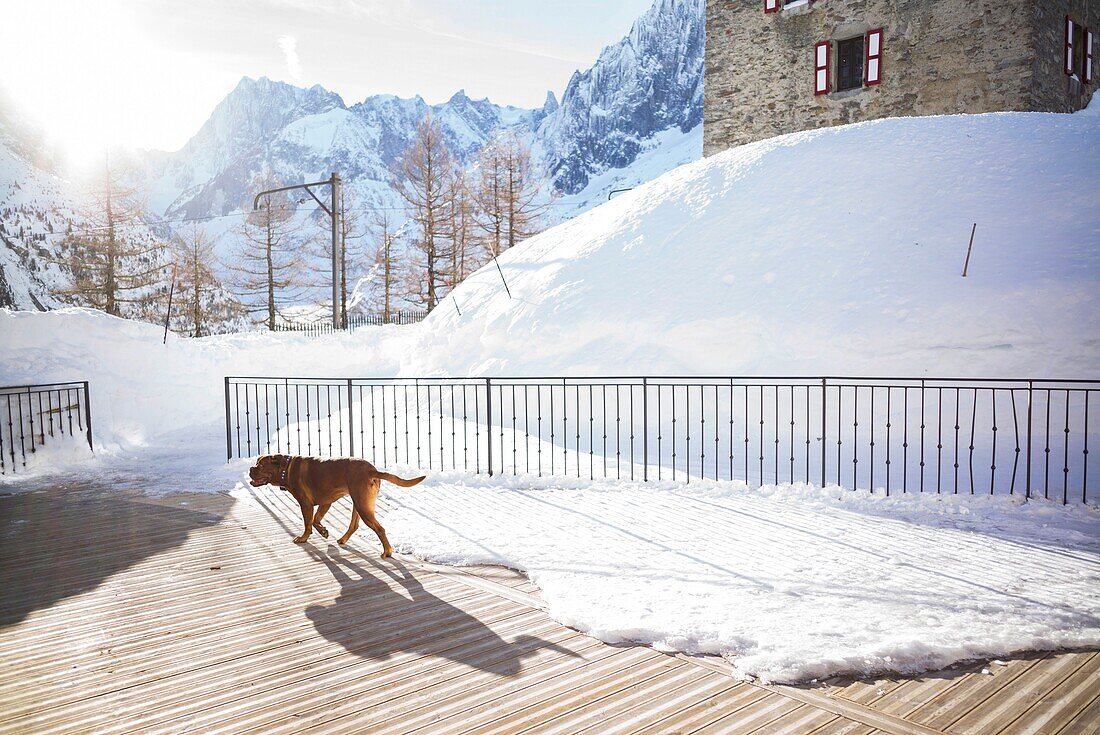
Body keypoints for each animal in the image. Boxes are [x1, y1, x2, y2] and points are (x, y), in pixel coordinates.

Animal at [249, 453, 424, 556]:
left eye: (260, 466)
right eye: (256, 464)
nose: (251, 468)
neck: (286, 468)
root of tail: (371, 470)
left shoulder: (306, 504)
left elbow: (308, 523)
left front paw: (303, 537)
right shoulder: (325, 502)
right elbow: (316, 520)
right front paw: (323, 531)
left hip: (362, 506)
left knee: (380, 529)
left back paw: (387, 552)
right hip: (359, 504)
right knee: (354, 525)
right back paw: (342, 539)